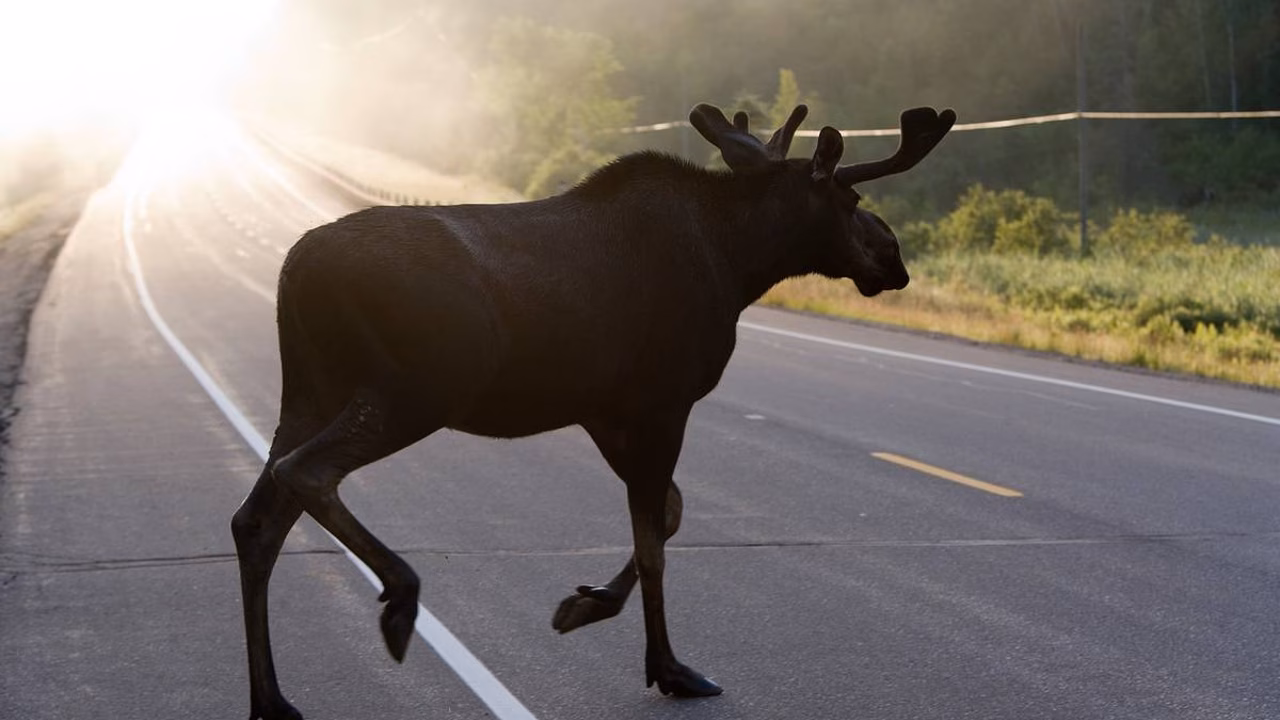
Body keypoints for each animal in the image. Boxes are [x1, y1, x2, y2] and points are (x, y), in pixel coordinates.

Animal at [231, 101, 955, 720]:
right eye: (850, 198)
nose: (894, 258)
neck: (740, 262)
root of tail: (294, 269)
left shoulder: (606, 410)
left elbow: (669, 514)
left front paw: (586, 603)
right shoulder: (662, 400)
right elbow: (655, 540)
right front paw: (669, 667)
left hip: (311, 391)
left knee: (256, 519)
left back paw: (272, 699)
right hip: (415, 388)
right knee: (306, 473)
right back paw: (399, 600)